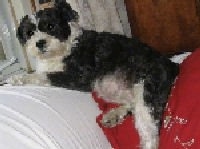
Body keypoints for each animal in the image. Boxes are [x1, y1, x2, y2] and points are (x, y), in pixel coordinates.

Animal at [7, 0, 179, 148]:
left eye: (51, 26)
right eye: (30, 33)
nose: (40, 43)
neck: (65, 48)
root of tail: (172, 65)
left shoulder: (78, 77)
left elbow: (41, 75)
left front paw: (18, 78)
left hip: (146, 92)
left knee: (149, 131)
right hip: (109, 88)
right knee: (132, 103)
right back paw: (114, 114)